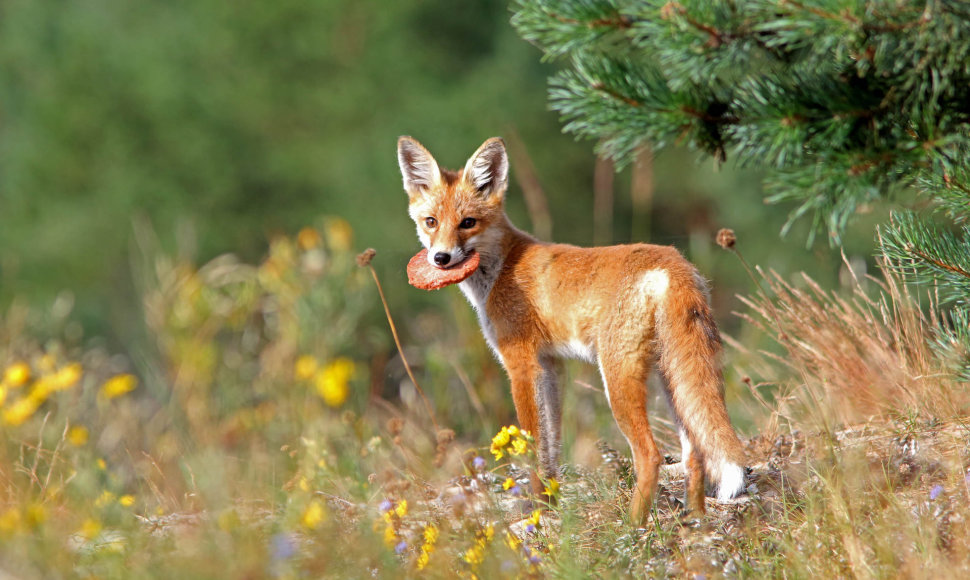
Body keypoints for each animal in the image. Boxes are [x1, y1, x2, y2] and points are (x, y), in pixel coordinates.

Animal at [398, 135, 744, 520]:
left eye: (468, 222)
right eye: (431, 221)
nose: (441, 258)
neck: (501, 268)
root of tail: (675, 262)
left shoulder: (522, 364)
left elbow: (533, 447)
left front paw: (534, 513)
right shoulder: (551, 367)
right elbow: (551, 449)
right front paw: (549, 507)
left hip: (618, 378)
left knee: (650, 455)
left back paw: (633, 523)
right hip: (671, 379)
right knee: (695, 453)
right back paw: (696, 519)